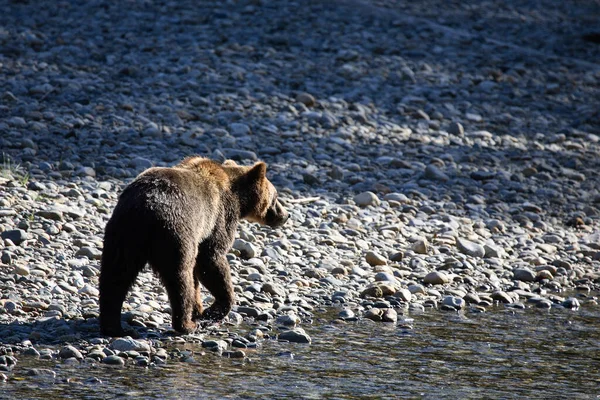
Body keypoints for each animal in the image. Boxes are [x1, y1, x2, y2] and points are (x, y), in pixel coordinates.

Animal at [98, 158, 288, 336]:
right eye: (276, 196)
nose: (285, 215)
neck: (238, 199)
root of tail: (146, 209)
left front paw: (200, 311)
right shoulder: (217, 219)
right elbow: (211, 259)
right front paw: (211, 311)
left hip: (122, 236)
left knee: (115, 276)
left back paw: (113, 326)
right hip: (176, 232)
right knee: (180, 277)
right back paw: (186, 325)